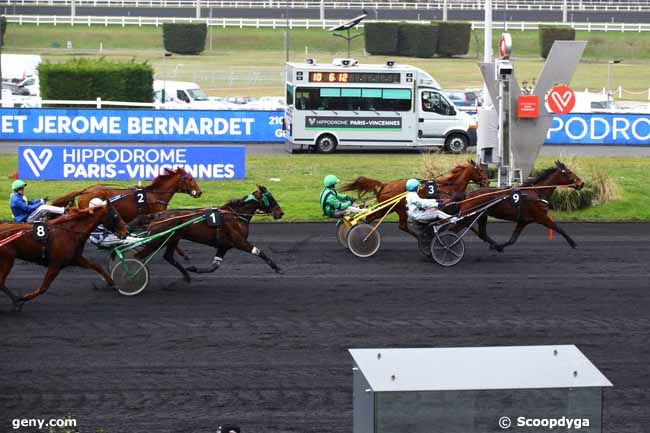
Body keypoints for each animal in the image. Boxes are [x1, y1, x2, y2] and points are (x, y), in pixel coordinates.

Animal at [0, 204, 128, 308]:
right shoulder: (55, 264)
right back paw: (16, 301)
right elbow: (43, 288)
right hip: (8, 259)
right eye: (116, 216)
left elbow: (97, 266)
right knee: (1, 282)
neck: (69, 232)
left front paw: (112, 283)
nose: (126, 232)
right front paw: (24, 297)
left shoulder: (76, 259)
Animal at [132, 185, 284, 280]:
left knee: (168, 257)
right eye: (271, 198)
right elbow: (259, 252)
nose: (281, 213)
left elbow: (214, 266)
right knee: (138, 256)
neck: (235, 215)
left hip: (172, 238)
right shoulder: (239, 241)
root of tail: (156, 216)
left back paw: (186, 276)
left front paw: (194, 269)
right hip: (157, 240)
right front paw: (277, 268)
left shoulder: (224, 246)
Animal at [340, 159, 486, 233]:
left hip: (390, 209)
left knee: (371, 218)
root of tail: (385, 185)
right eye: (480, 170)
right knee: (398, 225)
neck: (450, 187)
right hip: (396, 208)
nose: (486, 181)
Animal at [456, 161, 584, 250]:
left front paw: (499, 246)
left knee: (482, 233)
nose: (581, 183)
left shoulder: (523, 221)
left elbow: (512, 240)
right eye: (569, 172)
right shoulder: (541, 217)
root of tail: (468, 194)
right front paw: (573, 243)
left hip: (482, 216)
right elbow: (559, 228)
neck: (537, 192)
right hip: (469, 215)